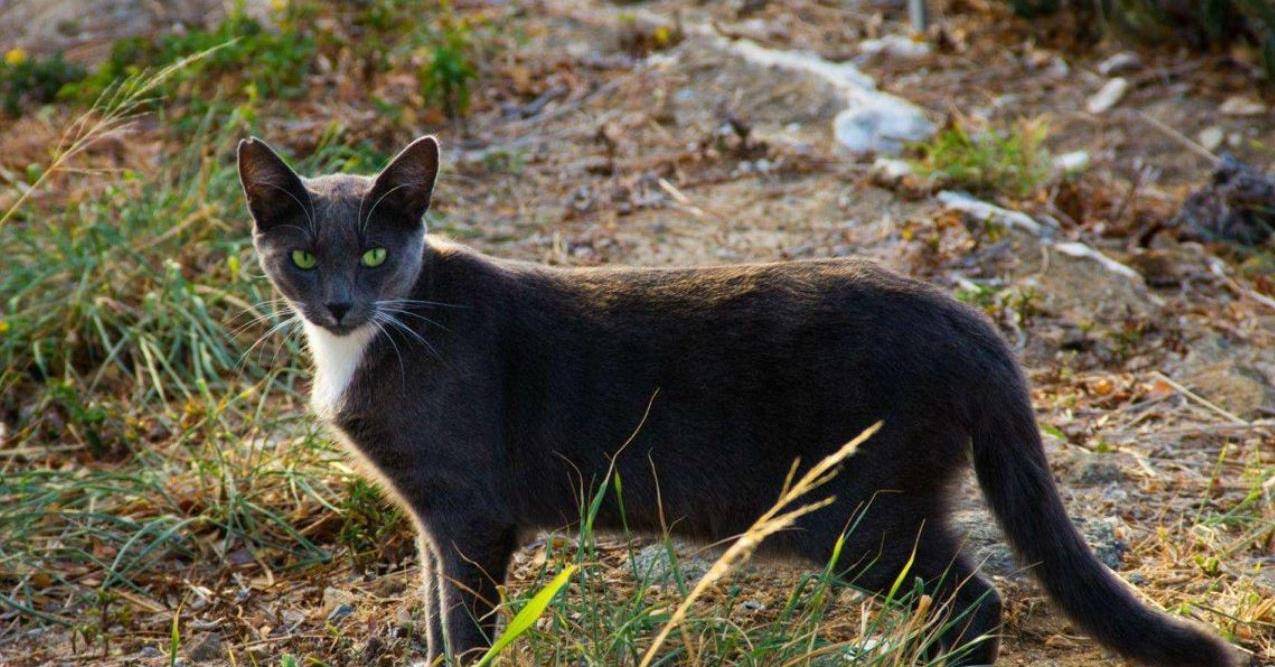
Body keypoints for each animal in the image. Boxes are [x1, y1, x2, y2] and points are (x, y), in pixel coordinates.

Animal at [239, 135, 1244, 667]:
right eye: (303, 257)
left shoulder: (467, 511)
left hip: (854, 509)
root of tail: (973, 325)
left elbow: (464, 622)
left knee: (976, 599)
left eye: (376, 256)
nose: (340, 301)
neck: (366, 345)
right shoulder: (431, 519)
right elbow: (437, 609)